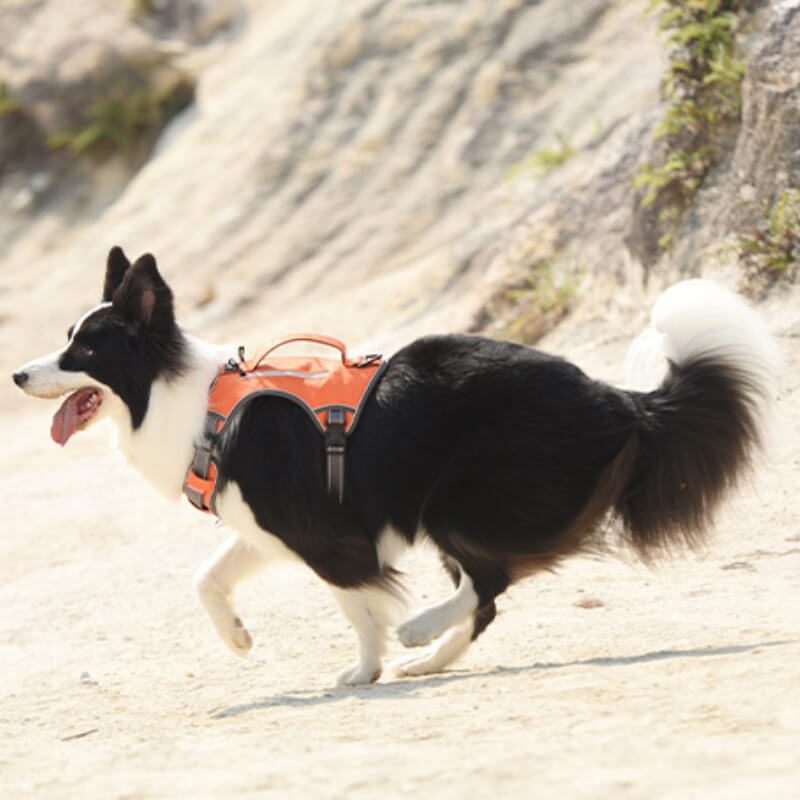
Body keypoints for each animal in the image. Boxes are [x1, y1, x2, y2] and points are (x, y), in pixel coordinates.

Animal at [10, 247, 776, 684]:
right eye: (66, 340)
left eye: (83, 351)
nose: (17, 374)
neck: (191, 401)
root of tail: (617, 400)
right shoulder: (268, 523)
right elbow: (208, 577)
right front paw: (238, 637)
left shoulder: (322, 531)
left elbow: (357, 602)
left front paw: (366, 665)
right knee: (488, 596)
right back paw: (430, 658)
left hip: (455, 495)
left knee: (491, 580)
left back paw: (420, 633)